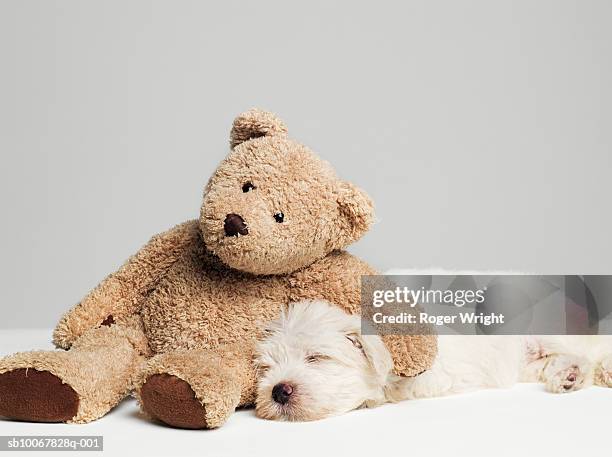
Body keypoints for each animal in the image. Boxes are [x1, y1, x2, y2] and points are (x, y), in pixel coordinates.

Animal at [256, 300, 612, 420]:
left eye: (316, 357)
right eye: (265, 369)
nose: (278, 391)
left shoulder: (426, 373)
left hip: (550, 332)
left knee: (592, 353)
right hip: (528, 363)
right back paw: (568, 375)